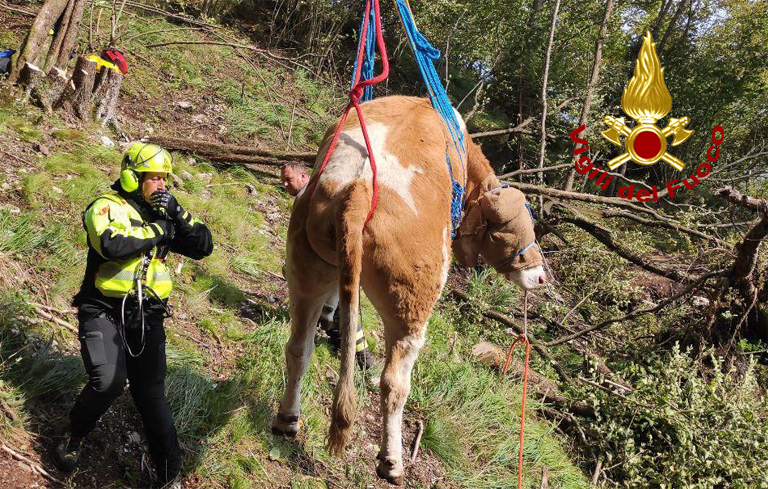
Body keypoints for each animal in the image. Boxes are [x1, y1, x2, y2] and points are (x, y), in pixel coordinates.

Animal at [271, 95, 545, 485]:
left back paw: (287, 419)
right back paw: (392, 461)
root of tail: (360, 189)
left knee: (298, 347)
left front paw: (332, 314)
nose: (540, 276)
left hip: (305, 264)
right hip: (412, 303)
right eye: (514, 227)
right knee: (393, 384)